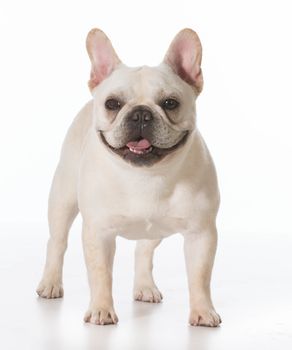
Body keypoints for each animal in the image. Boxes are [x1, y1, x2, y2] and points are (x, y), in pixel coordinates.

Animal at [37, 28, 222, 328]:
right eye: (112, 104)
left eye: (170, 103)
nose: (141, 114)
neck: (146, 175)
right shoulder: (98, 233)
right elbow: (101, 274)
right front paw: (101, 310)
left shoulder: (201, 234)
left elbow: (200, 276)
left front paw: (203, 311)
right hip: (62, 200)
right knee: (57, 242)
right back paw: (50, 283)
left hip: (155, 230)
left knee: (144, 251)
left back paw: (145, 287)